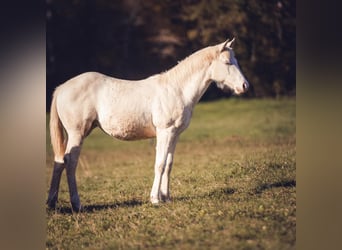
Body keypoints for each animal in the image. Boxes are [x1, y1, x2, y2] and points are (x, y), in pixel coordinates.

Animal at [46, 38, 248, 212]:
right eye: (228, 62)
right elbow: (159, 164)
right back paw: (76, 204)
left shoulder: (174, 135)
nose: (245, 86)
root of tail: (62, 88)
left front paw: (166, 198)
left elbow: (168, 164)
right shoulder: (165, 132)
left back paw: (52, 203)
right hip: (77, 134)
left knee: (59, 161)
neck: (176, 89)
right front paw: (155, 199)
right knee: (70, 163)